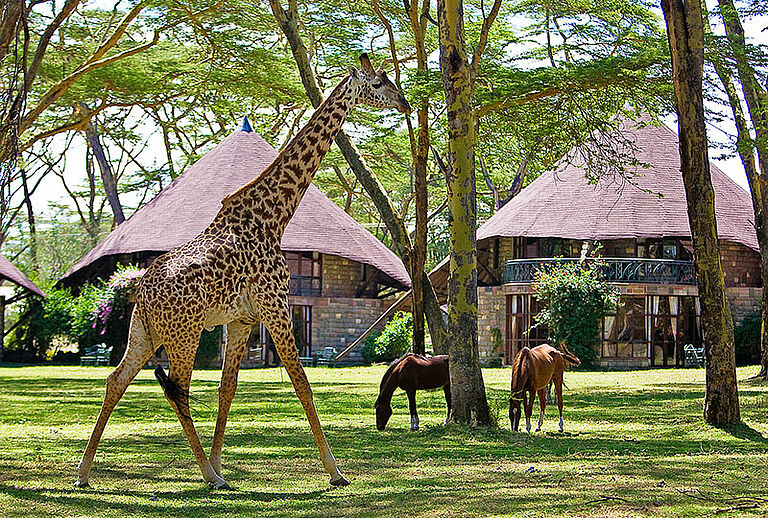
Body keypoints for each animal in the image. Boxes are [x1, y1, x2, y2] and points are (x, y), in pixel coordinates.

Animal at [76, 53, 414, 492]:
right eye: (379, 83)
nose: (405, 104)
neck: (274, 216)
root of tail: (143, 291)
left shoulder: (241, 319)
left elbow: (228, 389)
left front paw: (221, 461)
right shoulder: (275, 306)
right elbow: (302, 383)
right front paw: (335, 471)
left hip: (144, 331)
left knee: (117, 379)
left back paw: (85, 472)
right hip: (184, 334)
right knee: (177, 390)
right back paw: (208, 476)